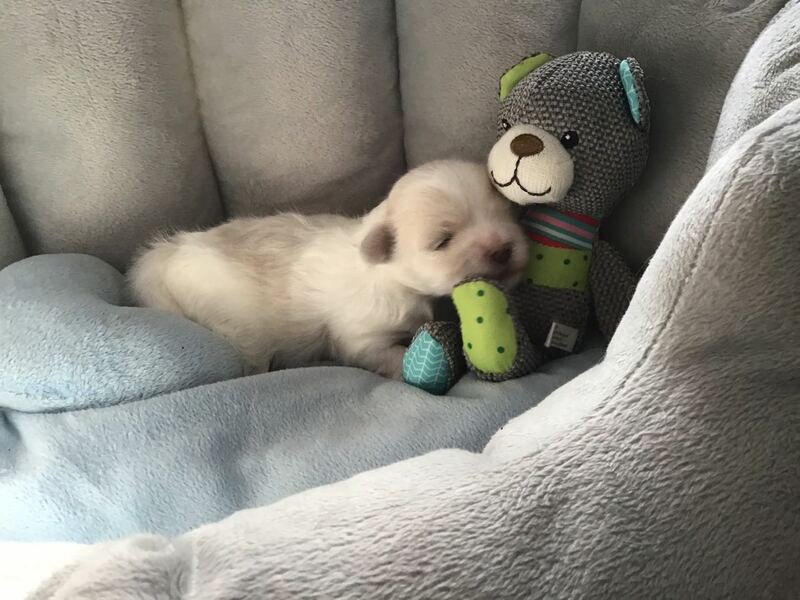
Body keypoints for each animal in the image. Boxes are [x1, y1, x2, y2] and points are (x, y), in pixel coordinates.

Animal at [128, 160, 528, 378]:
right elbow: (387, 354)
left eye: (506, 214)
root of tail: (170, 250)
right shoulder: (360, 338)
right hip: (240, 330)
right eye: (443, 241)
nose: (502, 249)